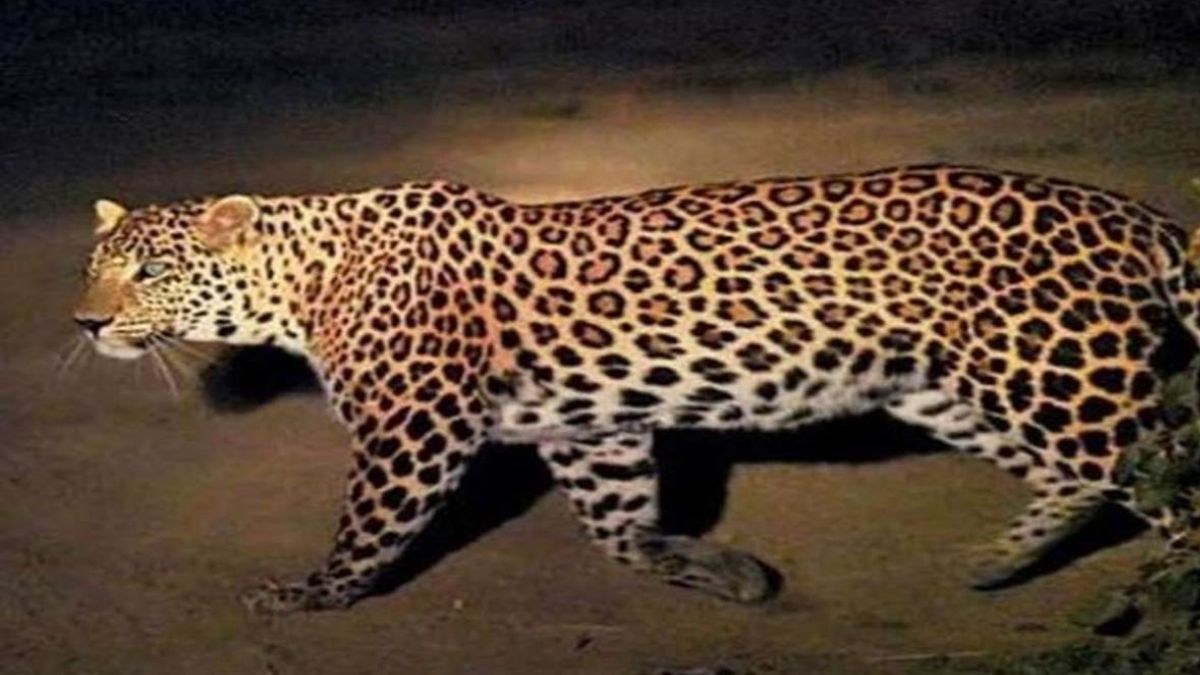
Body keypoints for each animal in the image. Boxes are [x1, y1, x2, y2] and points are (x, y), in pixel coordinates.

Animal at [73, 164, 1200, 614]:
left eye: (152, 271)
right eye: (94, 265)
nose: (84, 322)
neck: (300, 283)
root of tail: (1127, 211)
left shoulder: (416, 425)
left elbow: (370, 524)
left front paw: (312, 593)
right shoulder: (592, 426)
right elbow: (616, 528)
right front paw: (717, 569)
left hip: (1054, 375)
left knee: (1168, 478)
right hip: (956, 387)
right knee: (1087, 480)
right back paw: (997, 564)